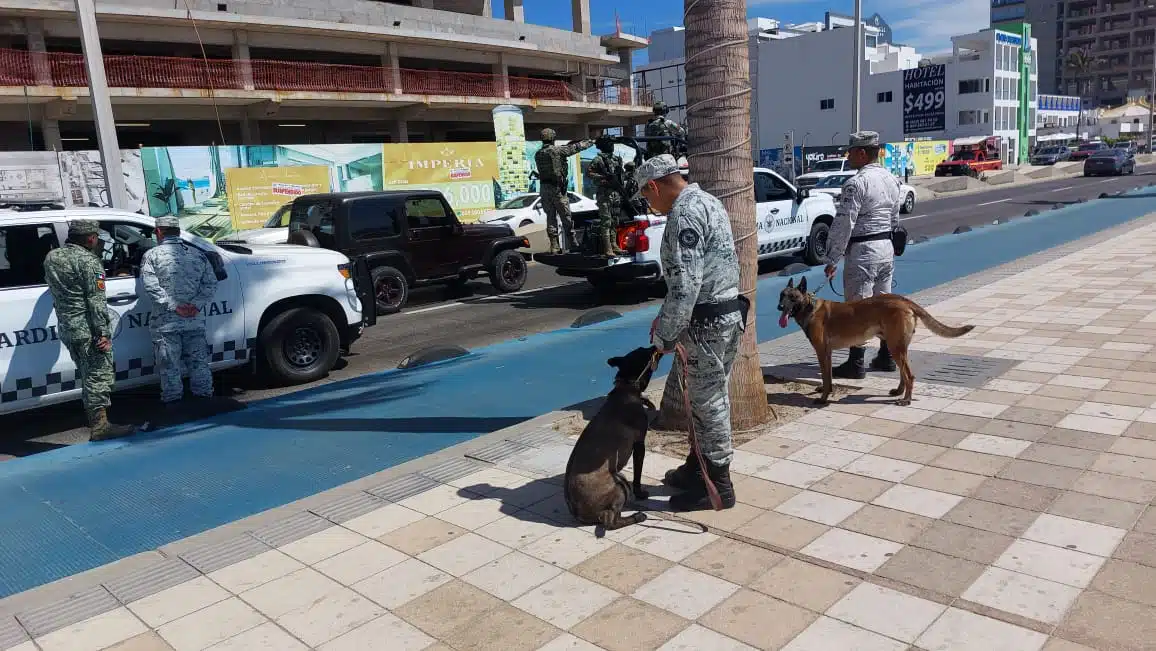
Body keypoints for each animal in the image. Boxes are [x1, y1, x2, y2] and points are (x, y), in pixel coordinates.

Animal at [561, 346, 661, 529]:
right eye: (644, 351)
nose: (653, 346)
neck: (627, 386)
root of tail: (577, 513)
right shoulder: (639, 444)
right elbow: (638, 474)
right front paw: (640, 493)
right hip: (619, 483)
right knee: (610, 520)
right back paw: (637, 516)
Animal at [776, 278, 975, 407]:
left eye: (792, 297)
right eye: (781, 295)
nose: (779, 307)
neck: (809, 307)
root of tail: (904, 300)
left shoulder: (821, 352)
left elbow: (825, 376)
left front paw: (824, 399)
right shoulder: (827, 353)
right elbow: (828, 377)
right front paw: (826, 391)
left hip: (895, 347)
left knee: (909, 375)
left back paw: (906, 399)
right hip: (898, 347)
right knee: (903, 373)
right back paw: (899, 391)